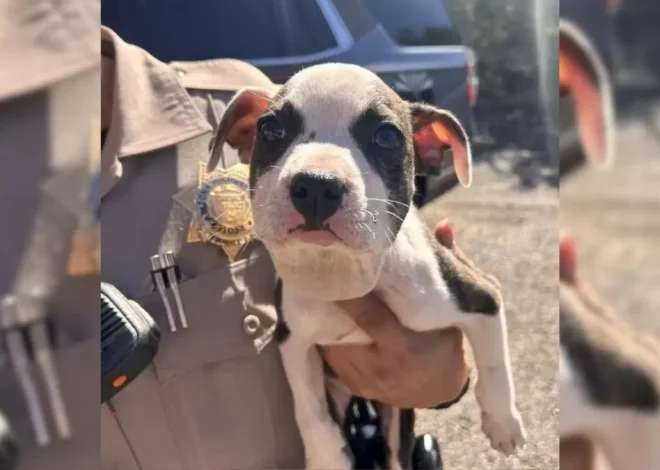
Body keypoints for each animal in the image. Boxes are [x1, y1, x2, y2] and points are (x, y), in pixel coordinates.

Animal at [210, 63, 524, 470]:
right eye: (271, 130)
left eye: (386, 136)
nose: (315, 185)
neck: (340, 272)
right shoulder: (292, 338)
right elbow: (308, 407)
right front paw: (326, 455)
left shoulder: (479, 293)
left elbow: (494, 361)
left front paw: (503, 423)